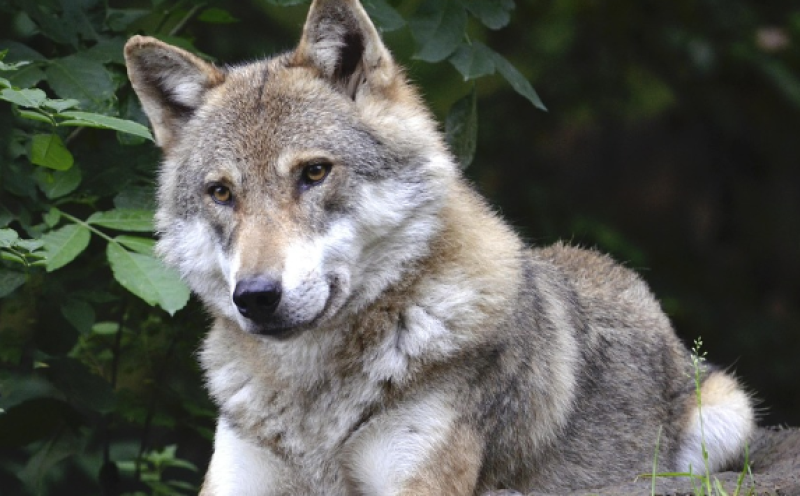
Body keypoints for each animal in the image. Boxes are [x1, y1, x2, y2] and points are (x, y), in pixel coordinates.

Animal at [123, 0, 755, 494]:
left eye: (314, 173)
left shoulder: (420, 479)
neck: (314, 404)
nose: (255, 296)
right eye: (221, 193)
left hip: (727, 417)